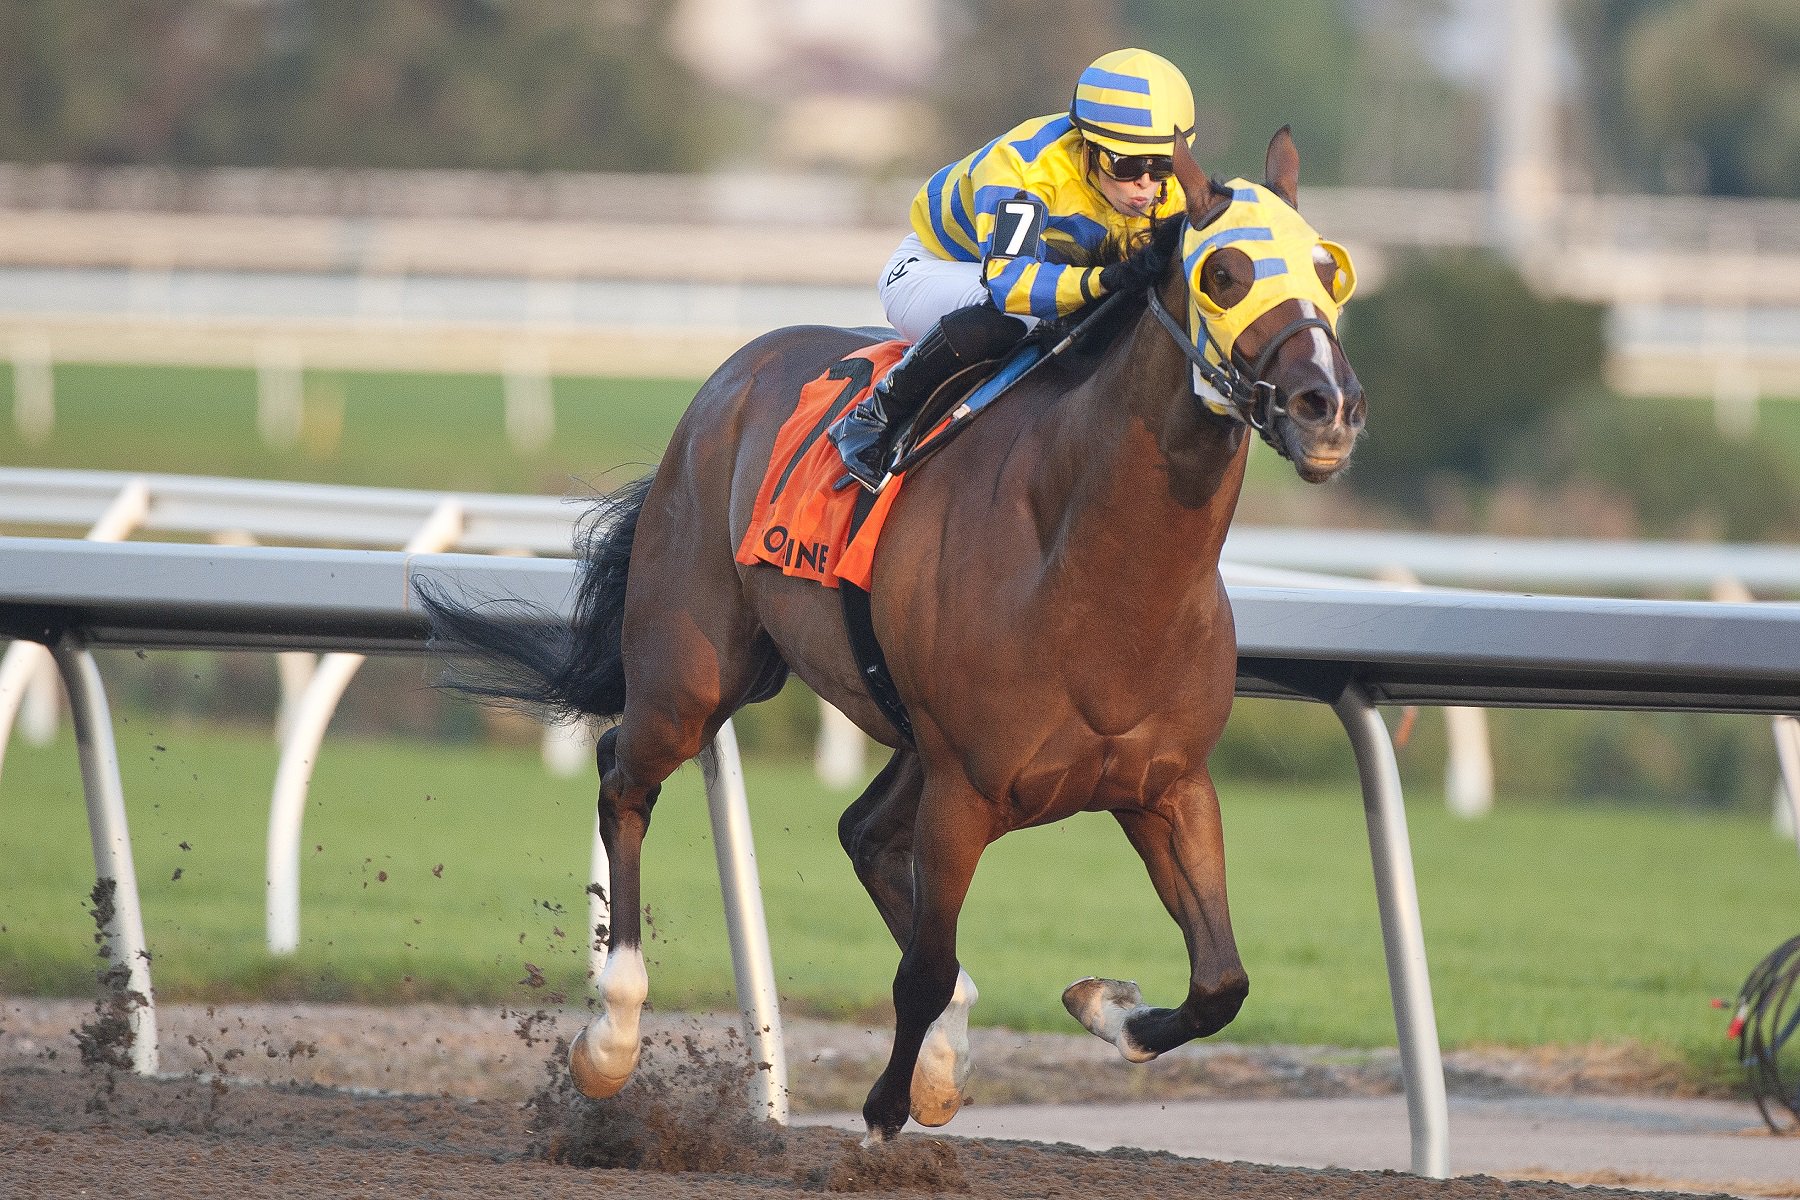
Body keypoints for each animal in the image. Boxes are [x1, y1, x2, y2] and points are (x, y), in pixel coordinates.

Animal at [421, 129, 1368, 1144]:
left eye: (1328, 269)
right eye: (1224, 273)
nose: (1327, 407)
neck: (1098, 575)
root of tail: (736, 370)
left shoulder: (1168, 786)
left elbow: (1221, 980)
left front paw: (1099, 1004)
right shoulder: (965, 789)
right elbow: (920, 970)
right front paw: (882, 1113)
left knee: (864, 833)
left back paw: (945, 1052)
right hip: (692, 674)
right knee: (624, 777)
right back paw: (613, 1038)